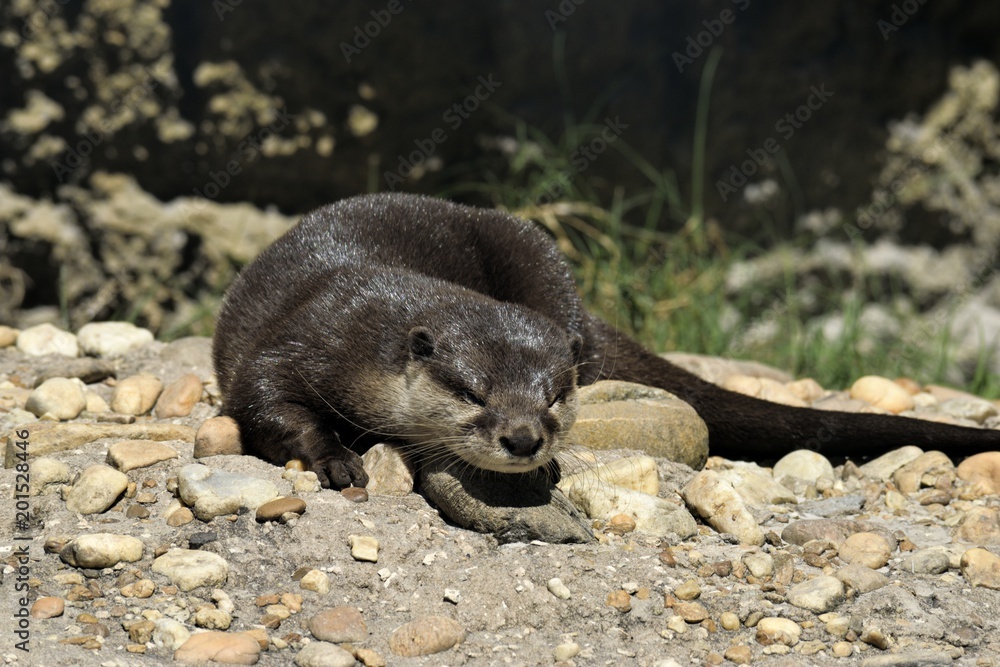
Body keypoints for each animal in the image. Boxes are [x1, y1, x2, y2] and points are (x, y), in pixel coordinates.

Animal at [213, 193, 1000, 489]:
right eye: (473, 392)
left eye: (554, 397)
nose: (524, 439)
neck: (372, 325)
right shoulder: (304, 335)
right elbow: (264, 402)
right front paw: (334, 457)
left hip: (540, 258)